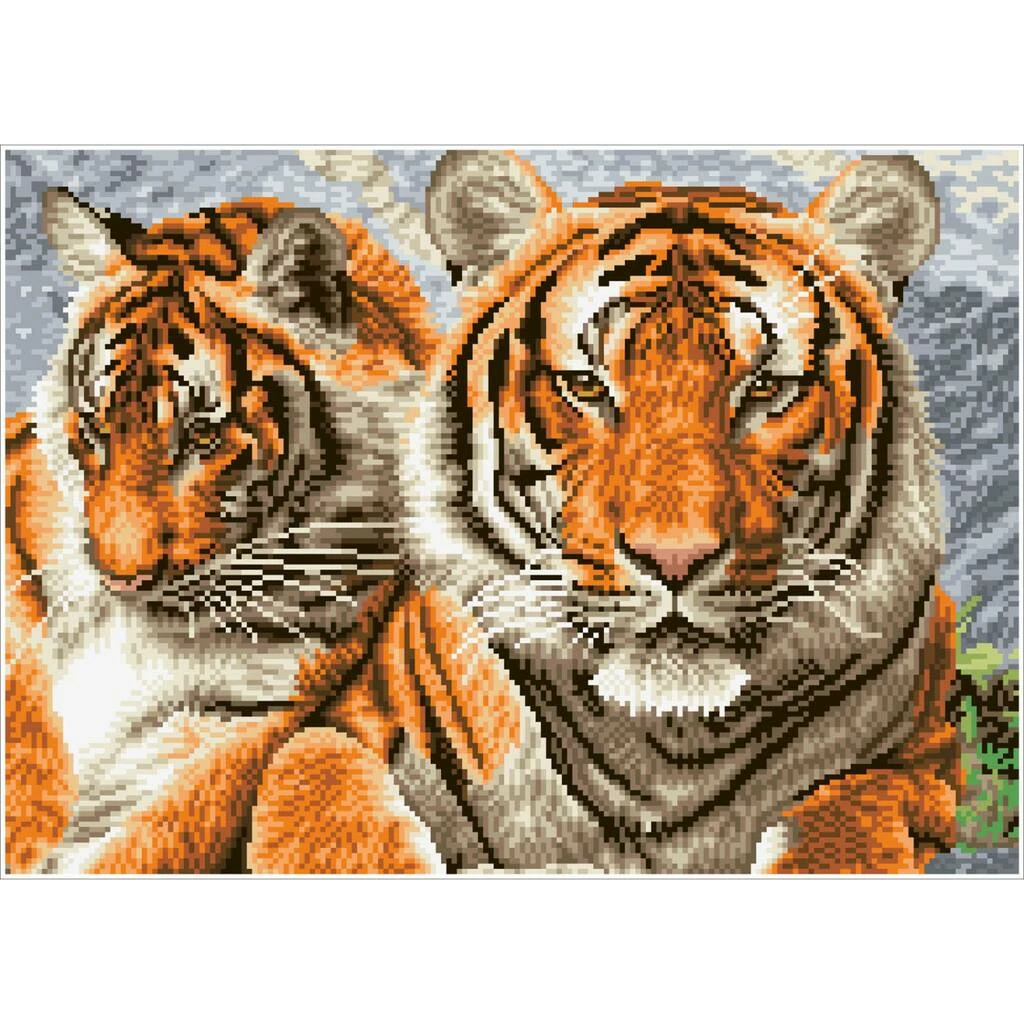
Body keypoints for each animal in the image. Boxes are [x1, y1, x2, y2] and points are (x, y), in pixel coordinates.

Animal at [385, 150, 962, 873]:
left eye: (766, 388)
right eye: (586, 386)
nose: (675, 558)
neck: (669, 756)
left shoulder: (927, 760)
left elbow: (842, 821)